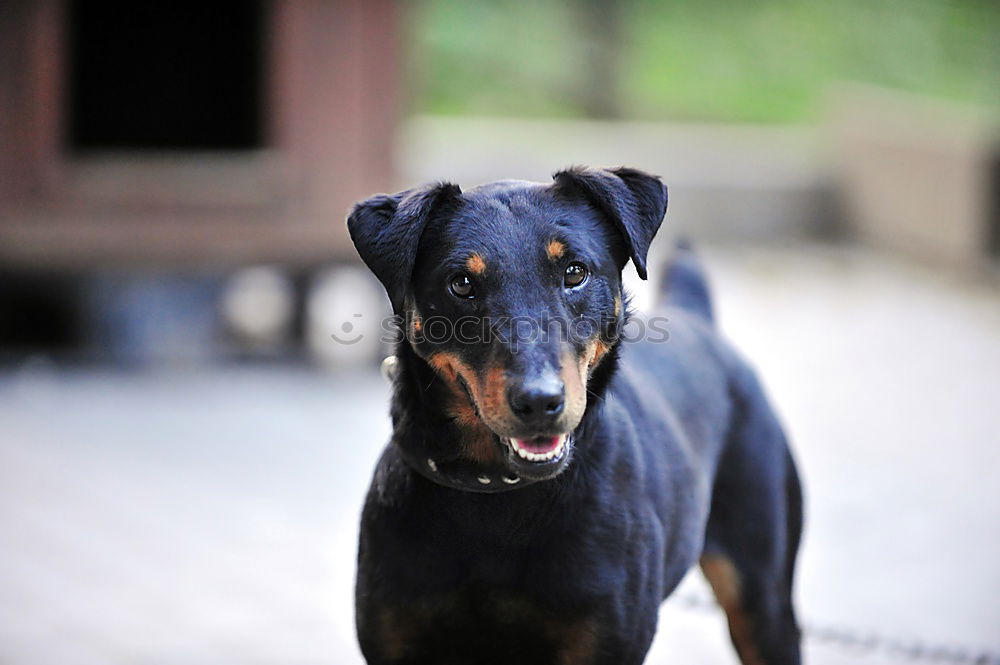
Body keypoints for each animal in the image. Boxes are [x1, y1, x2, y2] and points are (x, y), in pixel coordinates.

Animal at [348, 167, 800, 664]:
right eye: (461, 283)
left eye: (575, 272)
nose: (539, 402)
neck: (498, 493)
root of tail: (695, 315)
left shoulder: (604, 642)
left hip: (763, 598)